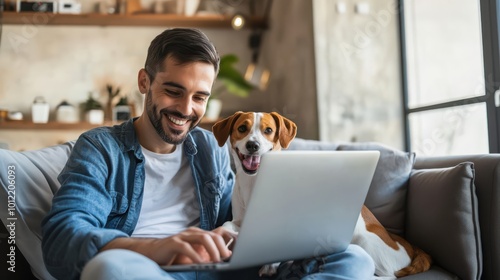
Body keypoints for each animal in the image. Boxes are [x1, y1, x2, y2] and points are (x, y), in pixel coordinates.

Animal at [210, 111, 430, 278]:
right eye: (242, 129)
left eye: (268, 130)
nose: (253, 145)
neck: (254, 181)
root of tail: (404, 244)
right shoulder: (244, 220)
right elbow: (228, 225)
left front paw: (271, 263)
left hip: (365, 241)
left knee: (386, 274)